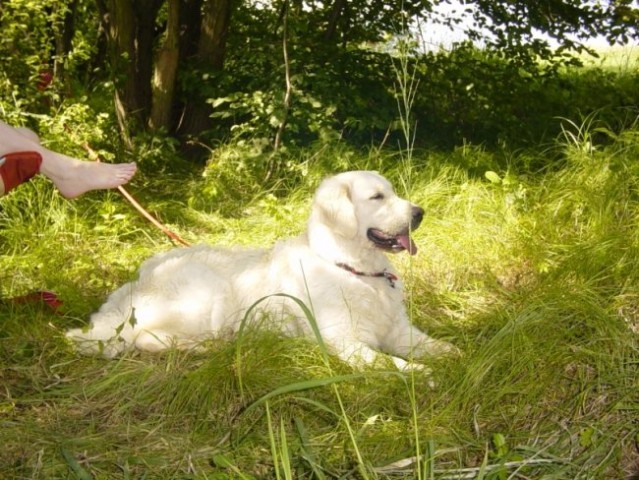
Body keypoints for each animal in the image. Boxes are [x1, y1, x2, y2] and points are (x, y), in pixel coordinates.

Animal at [67, 171, 452, 370]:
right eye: (377, 197)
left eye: (393, 192)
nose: (420, 213)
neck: (353, 270)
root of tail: (133, 284)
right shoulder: (343, 340)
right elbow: (387, 363)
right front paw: (418, 373)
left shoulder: (398, 330)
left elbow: (436, 345)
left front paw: (455, 356)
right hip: (206, 291)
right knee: (146, 338)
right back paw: (207, 346)